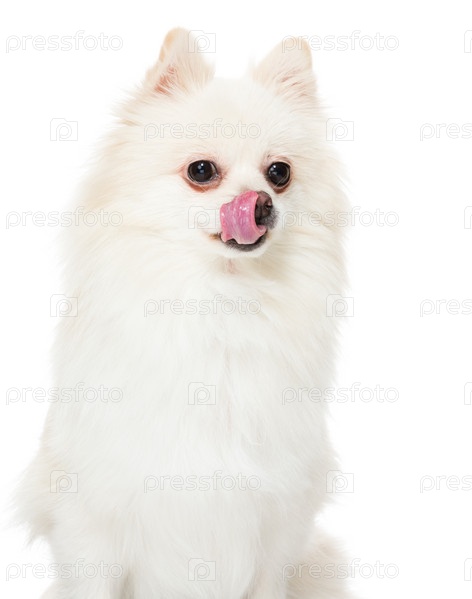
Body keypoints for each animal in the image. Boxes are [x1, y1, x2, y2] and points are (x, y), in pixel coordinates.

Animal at [17, 28, 351, 598]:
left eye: (279, 173)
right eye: (201, 171)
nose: (260, 203)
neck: (222, 300)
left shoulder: (275, 528)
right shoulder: (95, 528)